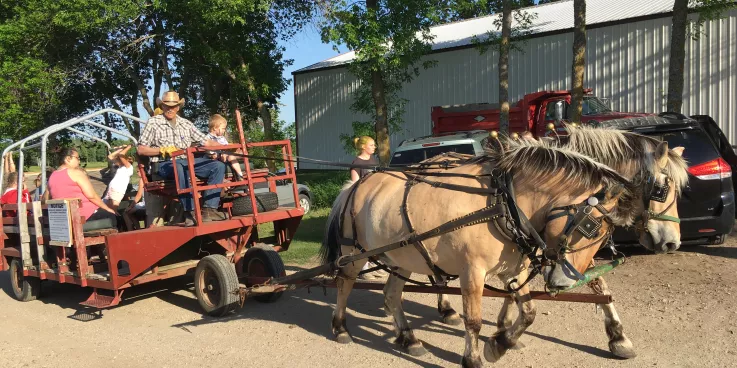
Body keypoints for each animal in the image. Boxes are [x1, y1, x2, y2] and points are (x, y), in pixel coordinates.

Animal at [320, 139, 644, 366]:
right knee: (344, 284)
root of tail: (355, 185)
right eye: (590, 227)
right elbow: (473, 320)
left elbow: (529, 312)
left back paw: (408, 338)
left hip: (402, 257)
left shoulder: (514, 268)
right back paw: (340, 329)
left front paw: (499, 344)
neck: (501, 202)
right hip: (354, 252)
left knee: (391, 295)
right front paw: (473, 358)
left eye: (604, 237)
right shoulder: (472, 272)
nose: (567, 282)